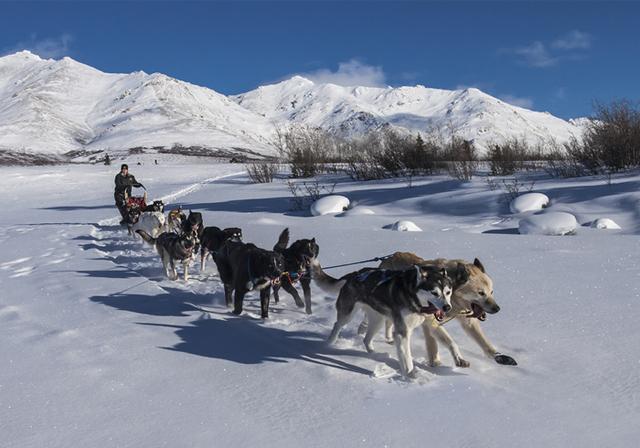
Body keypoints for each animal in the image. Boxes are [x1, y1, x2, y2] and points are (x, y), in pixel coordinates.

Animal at [312, 260, 452, 380]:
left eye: (448, 292)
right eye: (434, 293)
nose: (447, 307)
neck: (413, 297)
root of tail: (355, 274)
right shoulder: (402, 333)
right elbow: (407, 360)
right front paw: (411, 378)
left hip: (377, 320)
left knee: (366, 339)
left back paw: (375, 355)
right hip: (348, 315)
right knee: (337, 325)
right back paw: (329, 344)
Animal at [364, 252, 516, 368]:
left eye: (491, 292)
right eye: (481, 293)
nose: (497, 309)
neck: (452, 295)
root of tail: (389, 258)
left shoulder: (467, 322)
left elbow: (484, 343)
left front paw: (499, 356)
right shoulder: (431, 322)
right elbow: (449, 342)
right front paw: (446, 360)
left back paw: (389, 338)